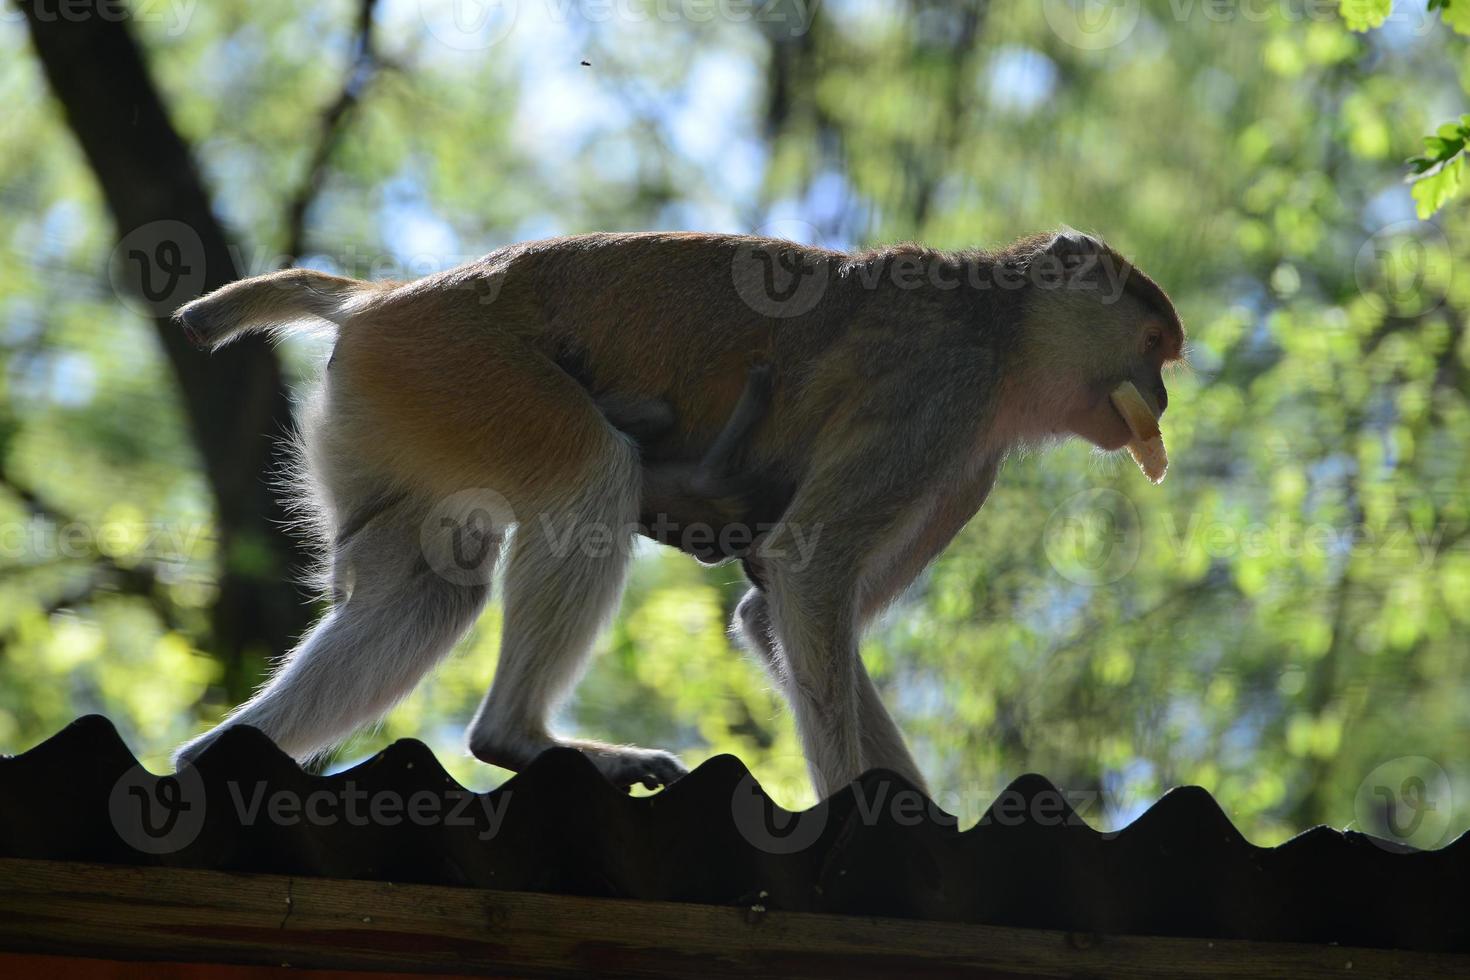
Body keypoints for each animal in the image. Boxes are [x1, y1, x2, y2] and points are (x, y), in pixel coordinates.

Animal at [171, 230, 1181, 799]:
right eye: (1154, 343)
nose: (1165, 399)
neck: (1004, 325)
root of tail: (385, 299)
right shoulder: (943, 393)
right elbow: (803, 573)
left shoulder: (969, 461)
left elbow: (774, 610)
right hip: (458, 366)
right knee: (588, 474)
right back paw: (518, 738)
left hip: (393, 403)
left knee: (425, 591)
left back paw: (212, 757)